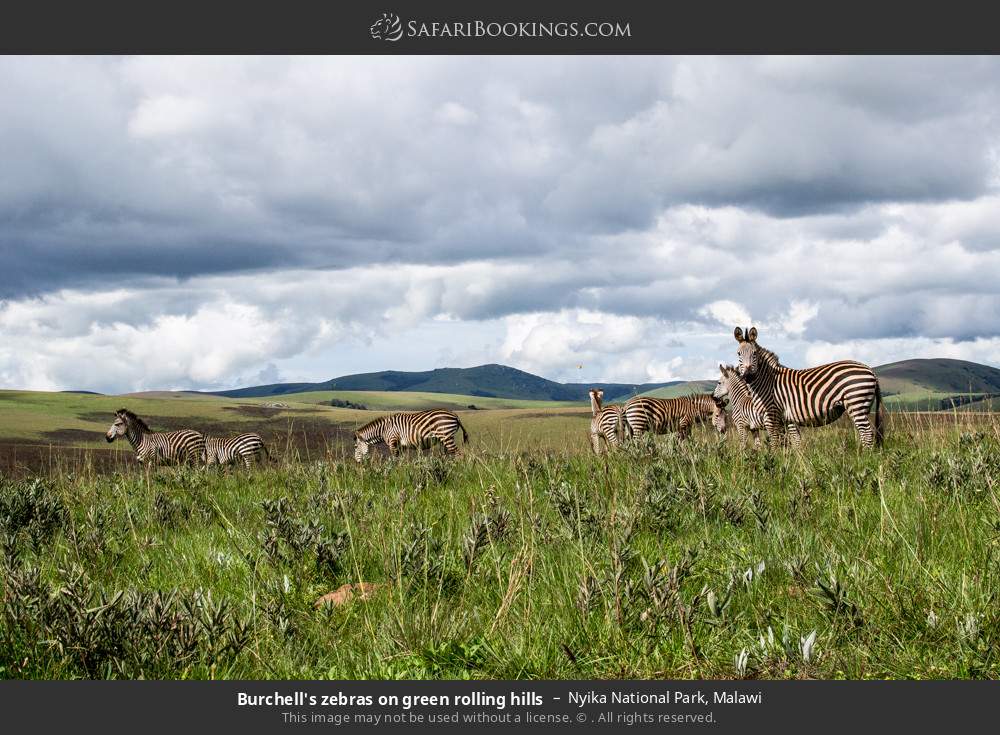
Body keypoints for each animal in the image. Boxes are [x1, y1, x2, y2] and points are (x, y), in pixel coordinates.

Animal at [734, 326, 884, 449]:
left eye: (754, 354)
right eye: (738, 354)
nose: (748, 376)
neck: (767, 381)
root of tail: (870, 370)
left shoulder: (771, 414)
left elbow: (775, 442)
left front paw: (774, 461)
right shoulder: (787, 419)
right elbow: (793, 443)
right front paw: (795, 463)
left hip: (856, 403)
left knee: (867, 433)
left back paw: (865, 458)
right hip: (862, 406)